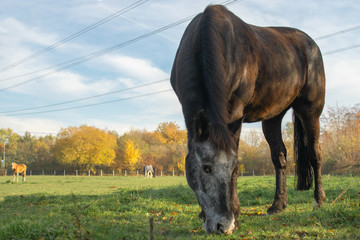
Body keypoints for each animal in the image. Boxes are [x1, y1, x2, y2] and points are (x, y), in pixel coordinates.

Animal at [170, 5, 324, 234]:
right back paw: (278, 205)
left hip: (310, 110)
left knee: (315, 153)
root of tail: (311, 44)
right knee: (279, 157)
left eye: (235, 168)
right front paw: (202, 214)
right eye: (206, 167)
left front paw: (236, 214)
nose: (223, 225)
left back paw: (319, 200)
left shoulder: (235, 113)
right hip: (272, 117)